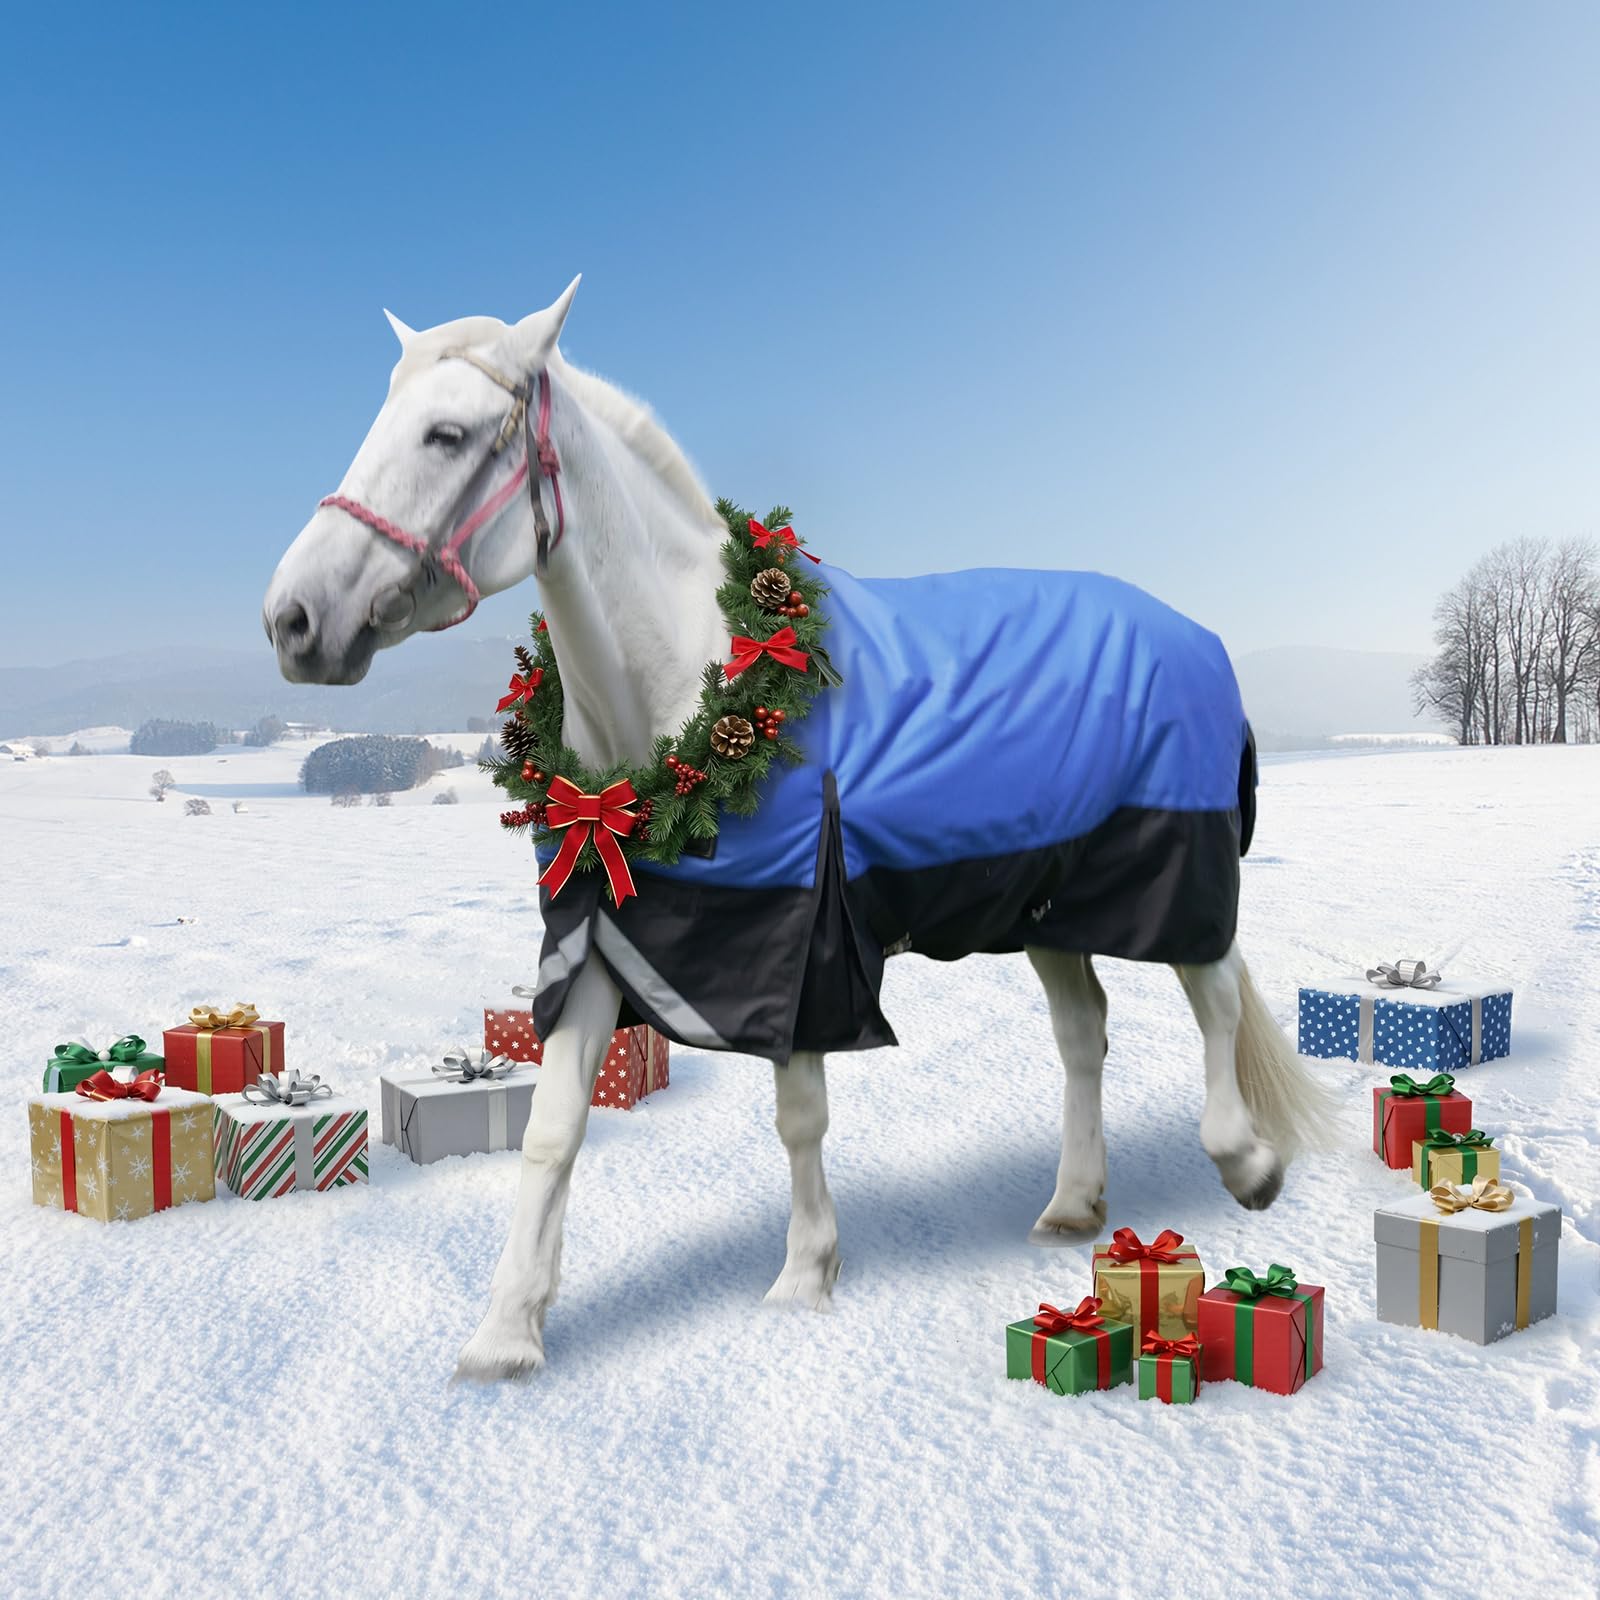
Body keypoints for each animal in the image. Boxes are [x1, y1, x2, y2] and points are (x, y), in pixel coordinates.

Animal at [264, 278, 1331, 1381]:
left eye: (448, 434)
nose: (293, 620)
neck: (683, 692)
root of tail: (1192, 632)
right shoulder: (599, 940)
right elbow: (551, 1132)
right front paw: (507, 1332)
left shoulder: (799, 946)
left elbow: (799, 1117)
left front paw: (803, 1277)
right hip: (1043, 898)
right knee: (1085, 1032)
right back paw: (1074, 1204)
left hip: (1171, 867)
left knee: (1214, 994)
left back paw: (1245, 1161)